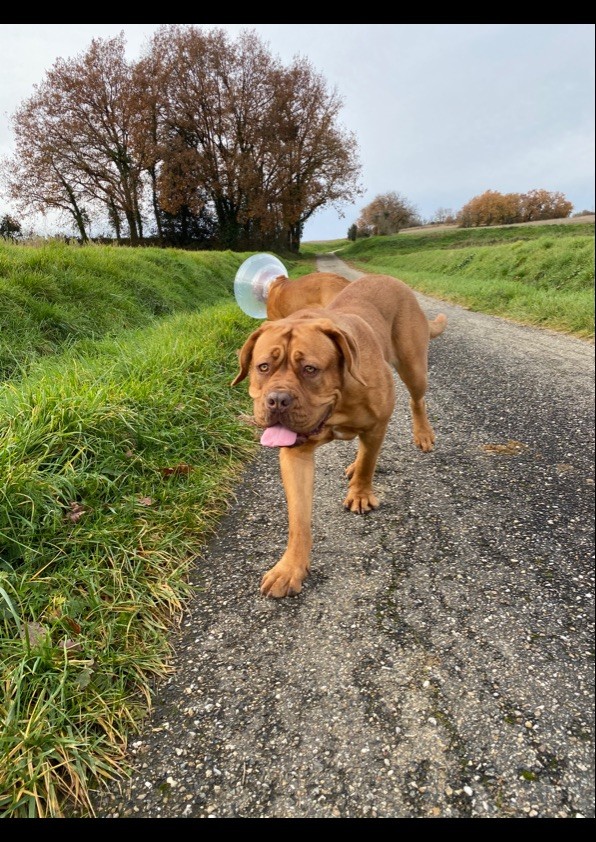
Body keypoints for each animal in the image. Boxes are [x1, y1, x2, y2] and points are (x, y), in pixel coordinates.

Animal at [233, 272, 448, 592]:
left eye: (310, 369)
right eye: (263, 367)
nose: (278, 400)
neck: (338, 402)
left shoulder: (377, 424)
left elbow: (369, 464)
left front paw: (360, 493)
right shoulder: (296, 455)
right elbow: (299, 518)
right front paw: (291, 566)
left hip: (414, 367)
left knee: (416, 399)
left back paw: (422, 434)